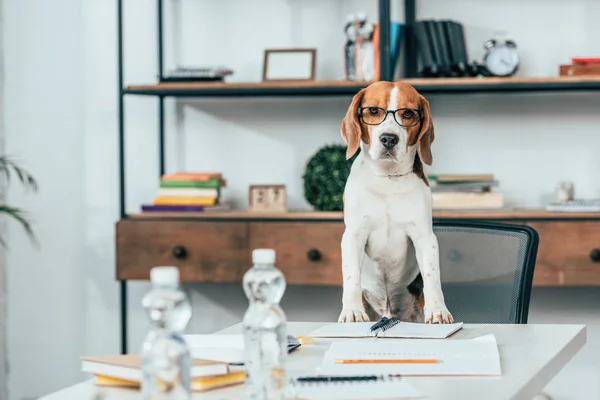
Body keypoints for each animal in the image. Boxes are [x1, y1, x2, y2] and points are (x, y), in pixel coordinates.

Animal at [340, 80, 452, 324]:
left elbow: (432, 277)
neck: (388, 178)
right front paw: (352, 311)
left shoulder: (424, 237)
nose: (389, 138)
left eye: (408, 113)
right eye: (374, 110)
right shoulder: (353, 235)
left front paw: (438, 310)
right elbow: (351, 276)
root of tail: (389, 312)